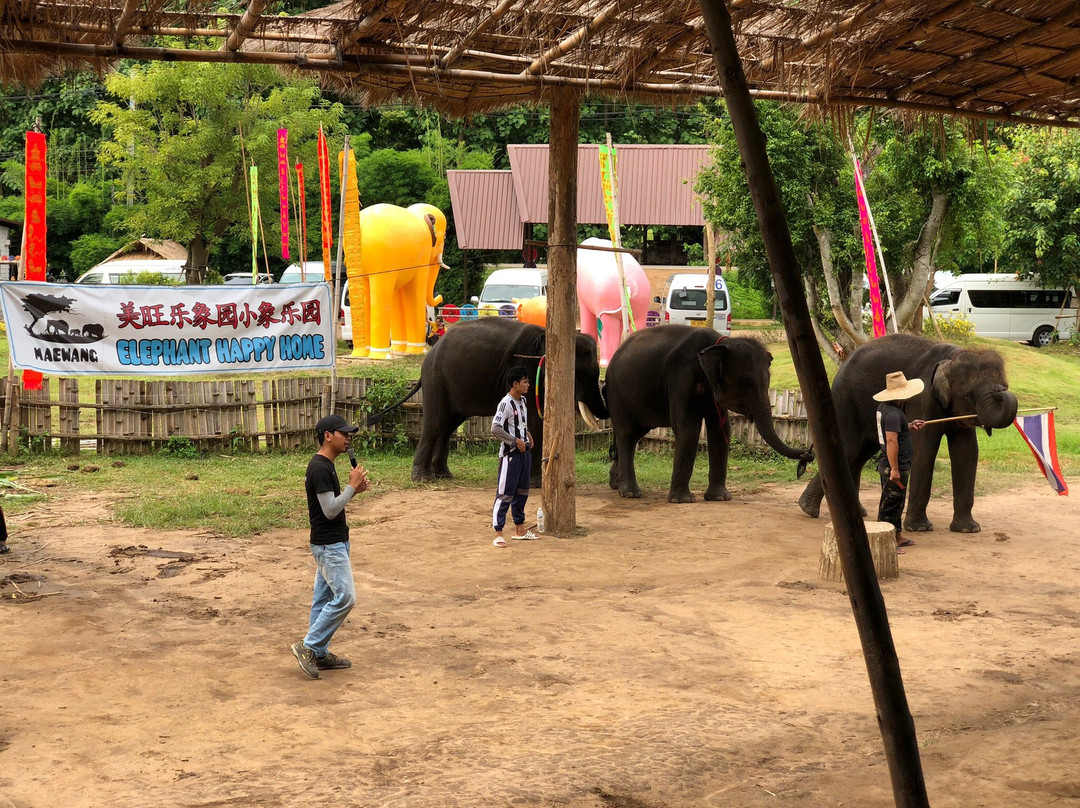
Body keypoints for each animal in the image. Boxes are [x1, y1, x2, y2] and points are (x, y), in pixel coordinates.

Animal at [369, 313, 609, 479]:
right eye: (581, 374)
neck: (547, 335)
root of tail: (429, 356)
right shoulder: (526, 370)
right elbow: (532, 420)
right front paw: (536, 481)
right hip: (436, 381)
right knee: (436, 423)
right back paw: (423, 479)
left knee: (449, 426)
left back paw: (443, 475)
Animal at [604, 324, 812, 501]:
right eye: (746, 384)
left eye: (768, 382)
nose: (808, 455)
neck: (719, 343)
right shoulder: (681, 378)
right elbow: (688, 427)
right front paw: (682, 500)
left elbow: (721, 430)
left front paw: (719, 498)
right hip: (616, 391)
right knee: (627, 432)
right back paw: (630, 493)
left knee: (636, 433)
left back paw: (615, 484)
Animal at [794, 330, 1019, 533]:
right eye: (970, 396)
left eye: (1005, 385)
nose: (1002, 392)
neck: (953, 357)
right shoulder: (922, 399)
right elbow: (924, 450)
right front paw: (920, 528)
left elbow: (967, 453)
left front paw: (968, 529)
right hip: (844, 402)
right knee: (848, 450)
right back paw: (808, 509)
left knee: (860, 454)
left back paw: (853, 512)